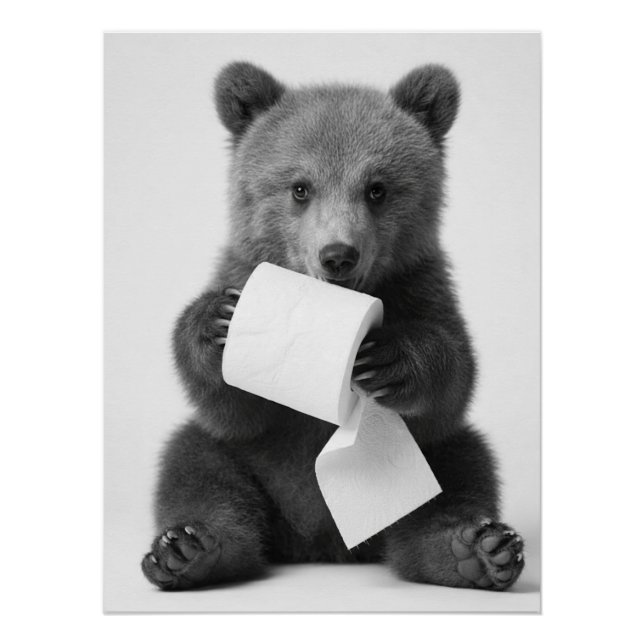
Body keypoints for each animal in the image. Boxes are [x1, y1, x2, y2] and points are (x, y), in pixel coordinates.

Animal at [141, 61, 525, 592]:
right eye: (300, 187)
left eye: (377, 188)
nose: (338, 255)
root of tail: (321, 544)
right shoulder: (240, 273)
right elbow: (232, 410)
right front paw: (215, 321)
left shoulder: (420, 286)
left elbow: (452, 380)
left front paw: (388, 358)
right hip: (251, 465)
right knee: (197, 468)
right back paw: (190, 550)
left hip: (430, 460)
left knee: (459, 472)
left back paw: (474, 549)